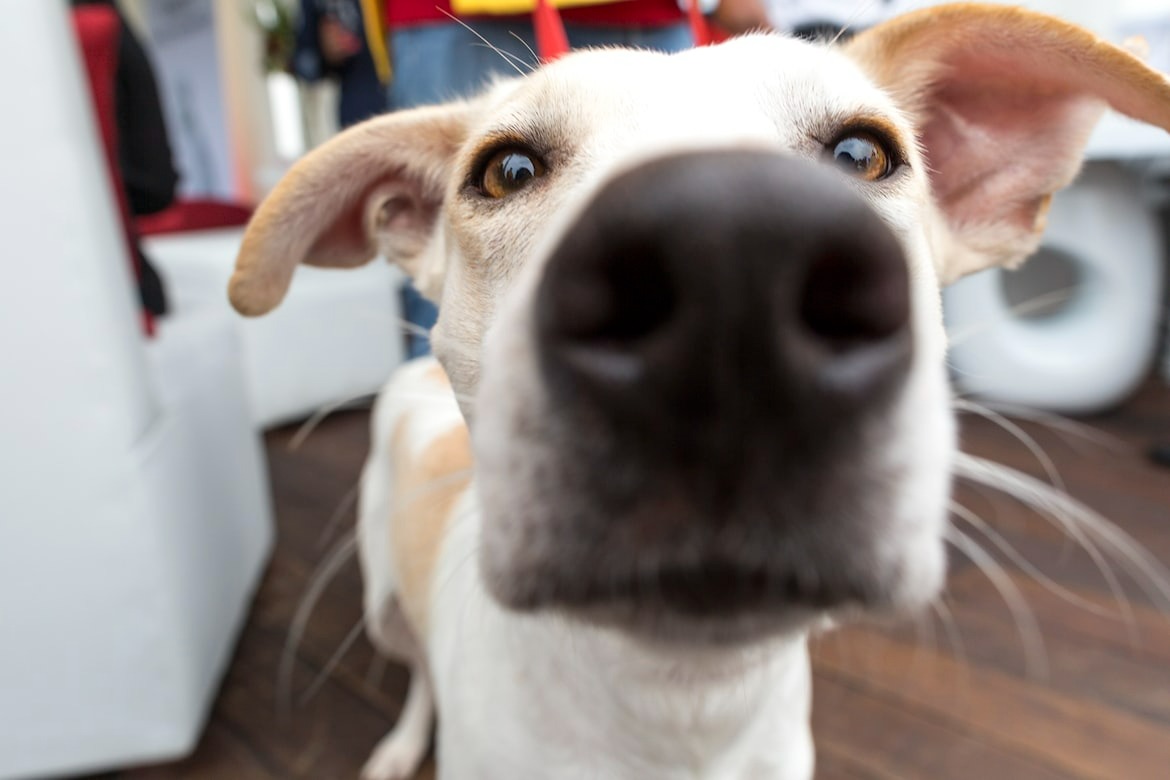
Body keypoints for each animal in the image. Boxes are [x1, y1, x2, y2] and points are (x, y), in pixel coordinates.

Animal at [225, 4, 1170, 776]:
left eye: (864, 154)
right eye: (508, 171)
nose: (730, 246)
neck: (682, 706)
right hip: (383, 595)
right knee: (417, 666)